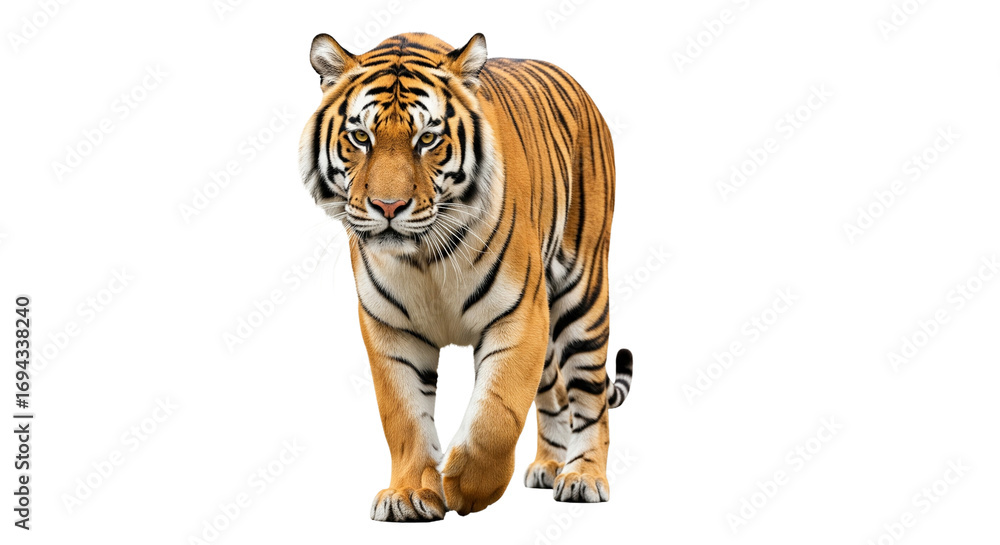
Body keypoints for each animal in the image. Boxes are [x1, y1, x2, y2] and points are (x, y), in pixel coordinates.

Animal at [298, 32, 633, 521]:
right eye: (360, 137)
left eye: (427, 139)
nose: (388, 207)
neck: (423, 258)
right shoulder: (390, 329)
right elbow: (404, 417)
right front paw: (409, 493)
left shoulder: (519, 316)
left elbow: (496, 415)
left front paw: (464, 487)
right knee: (553, 389)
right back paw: (548, 466)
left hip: (583, 293)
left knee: (590, 395)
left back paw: (582, 477)